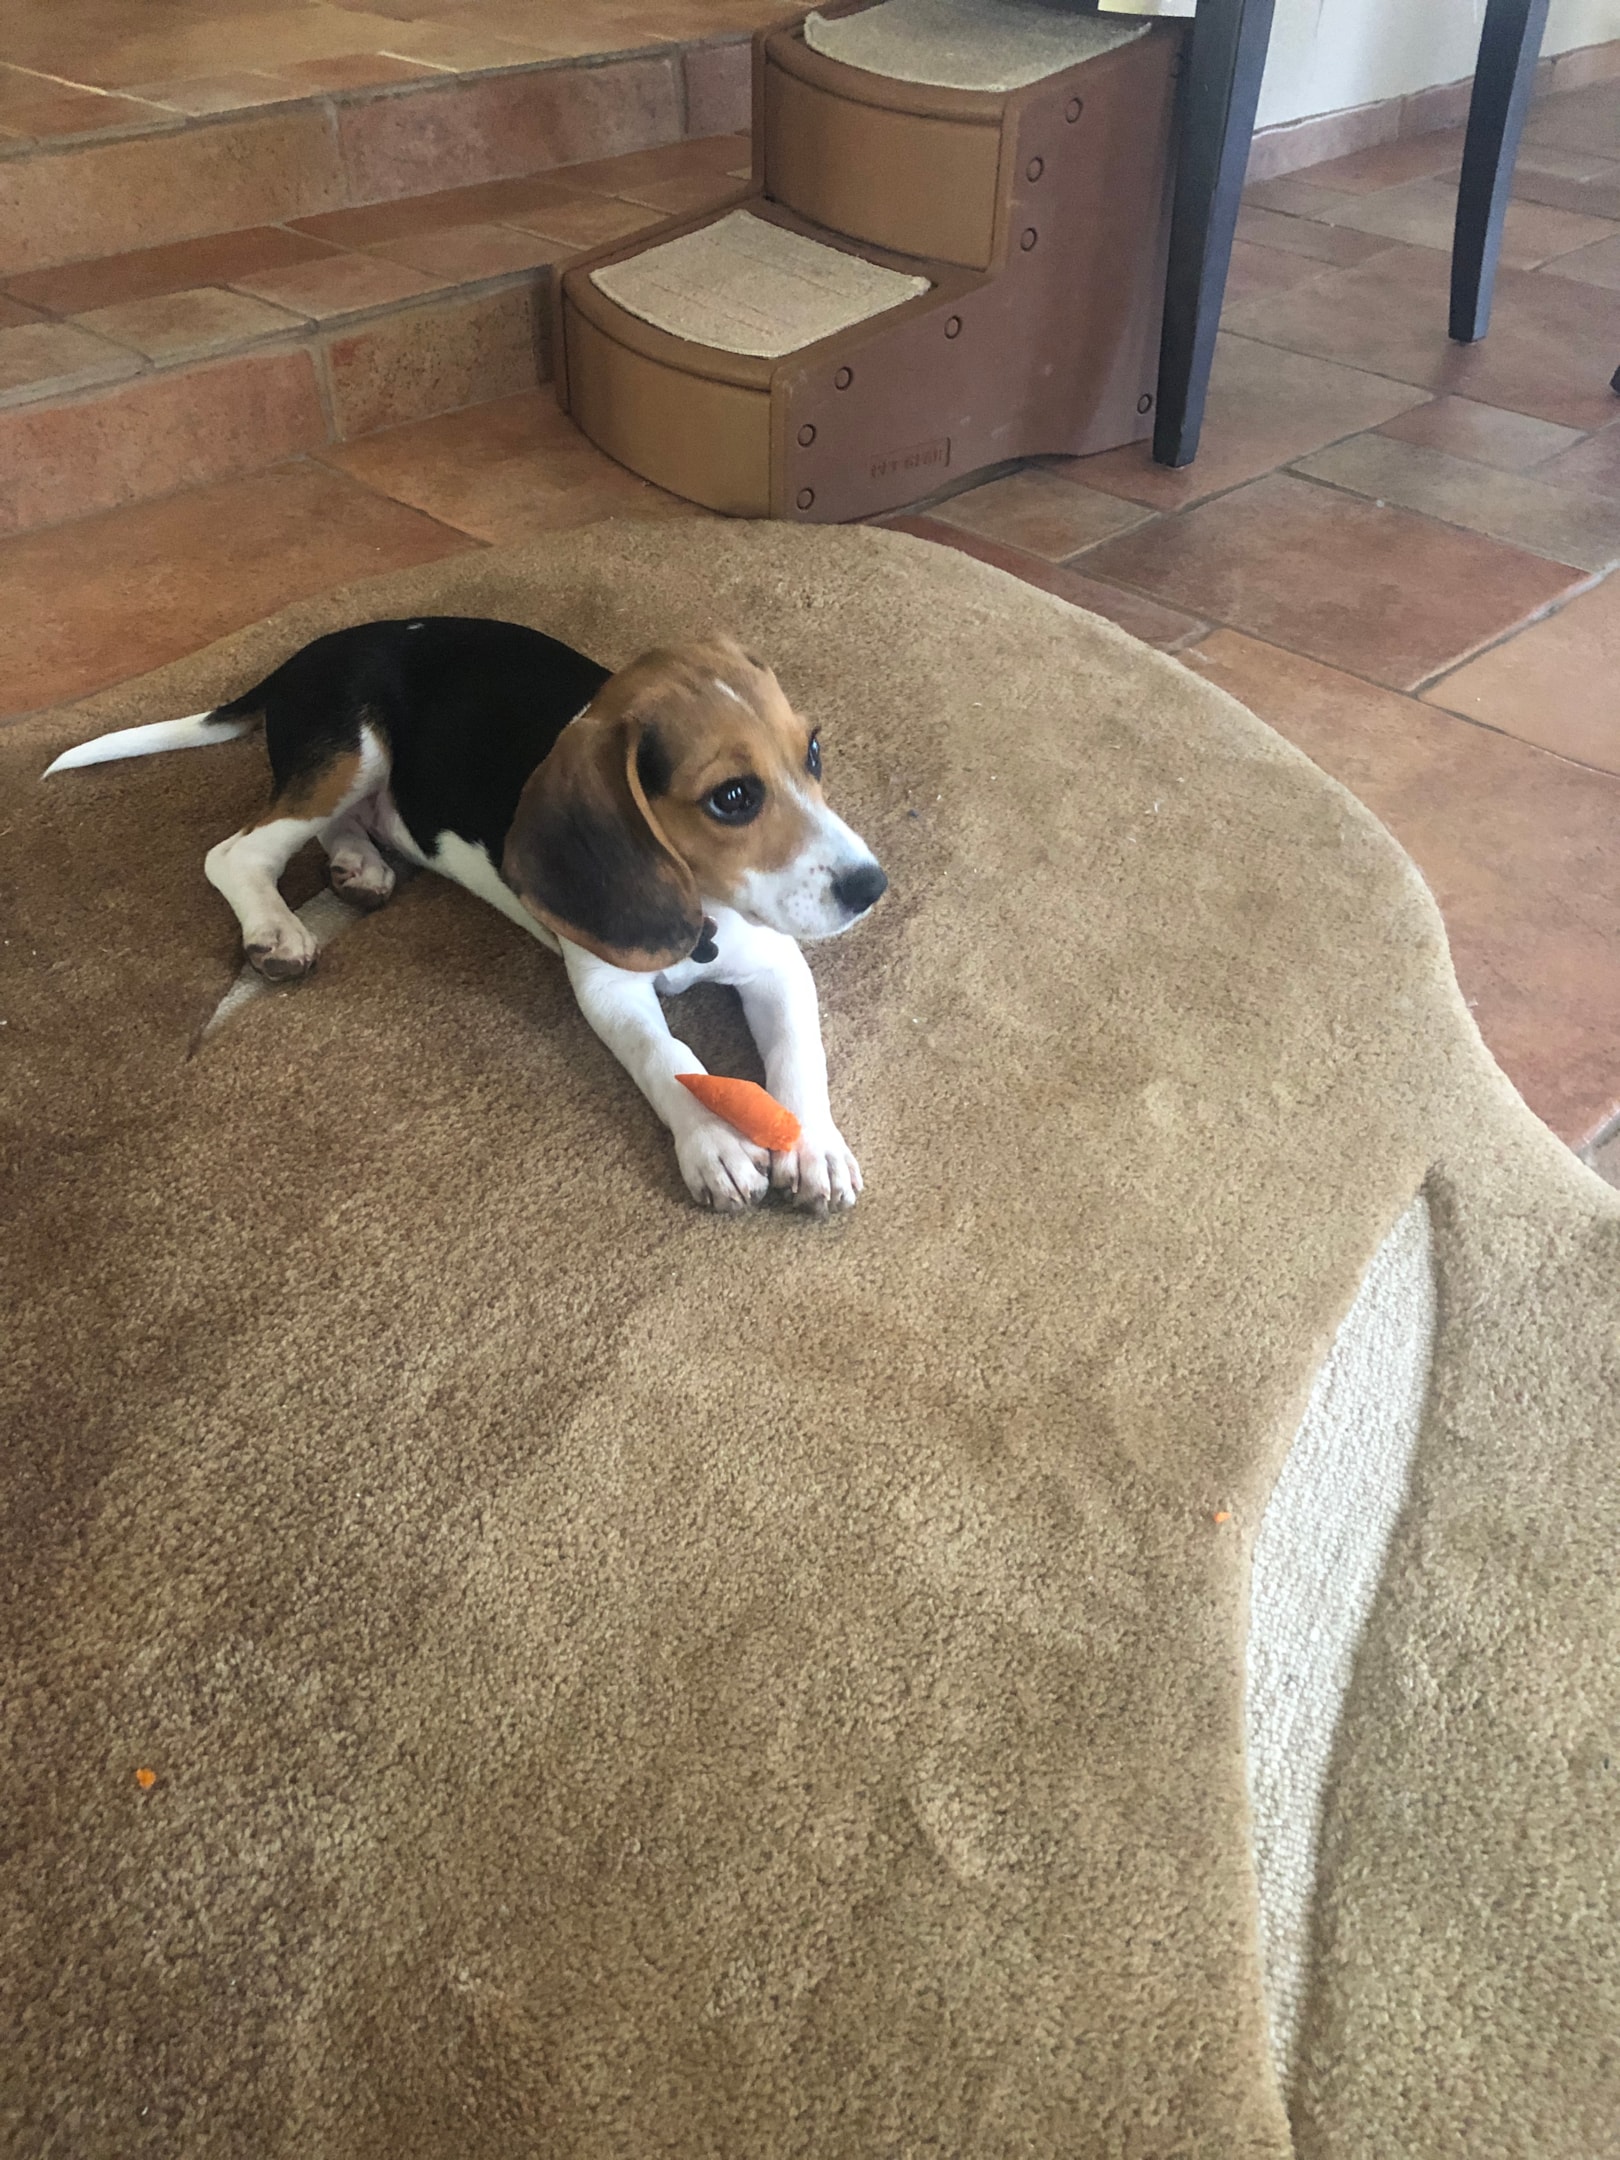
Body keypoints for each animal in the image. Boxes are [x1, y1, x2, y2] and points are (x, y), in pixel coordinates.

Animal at [47, 622, 889, 1218]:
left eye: (813, 752)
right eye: (733, 798)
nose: (872, 887)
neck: (702, 904)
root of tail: (307, 654)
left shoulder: (777, 962)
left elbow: (798, 1053)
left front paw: (814, 1145)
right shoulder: (607, 989)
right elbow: (667, 1054)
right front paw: (712, 1141)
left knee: (335, 828)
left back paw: (359, 866)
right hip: (352, 751)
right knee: (236, 853)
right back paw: (277, 931)